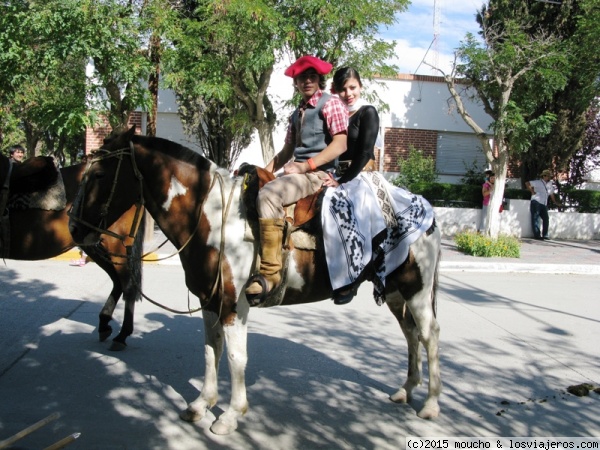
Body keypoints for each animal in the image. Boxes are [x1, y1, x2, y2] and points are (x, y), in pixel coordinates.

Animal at [1, 153, 147, 350]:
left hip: (116, 246)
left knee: (128, 285)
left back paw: (122, 335)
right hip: (93, 245)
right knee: (118, 282)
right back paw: (104, 324)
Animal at [70, 125, 442, 434]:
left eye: (99, 174)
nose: (75, 228)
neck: (211, 217)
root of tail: (426, 207)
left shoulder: (234, 304)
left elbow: (237, 357)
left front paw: (231, 414)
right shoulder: (209, 301)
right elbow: (211, 350)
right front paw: (202, 404)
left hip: (417, 289)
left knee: (428, 335)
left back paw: (431, 404)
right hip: (395, 291)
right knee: (410, 334)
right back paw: (406, 390)